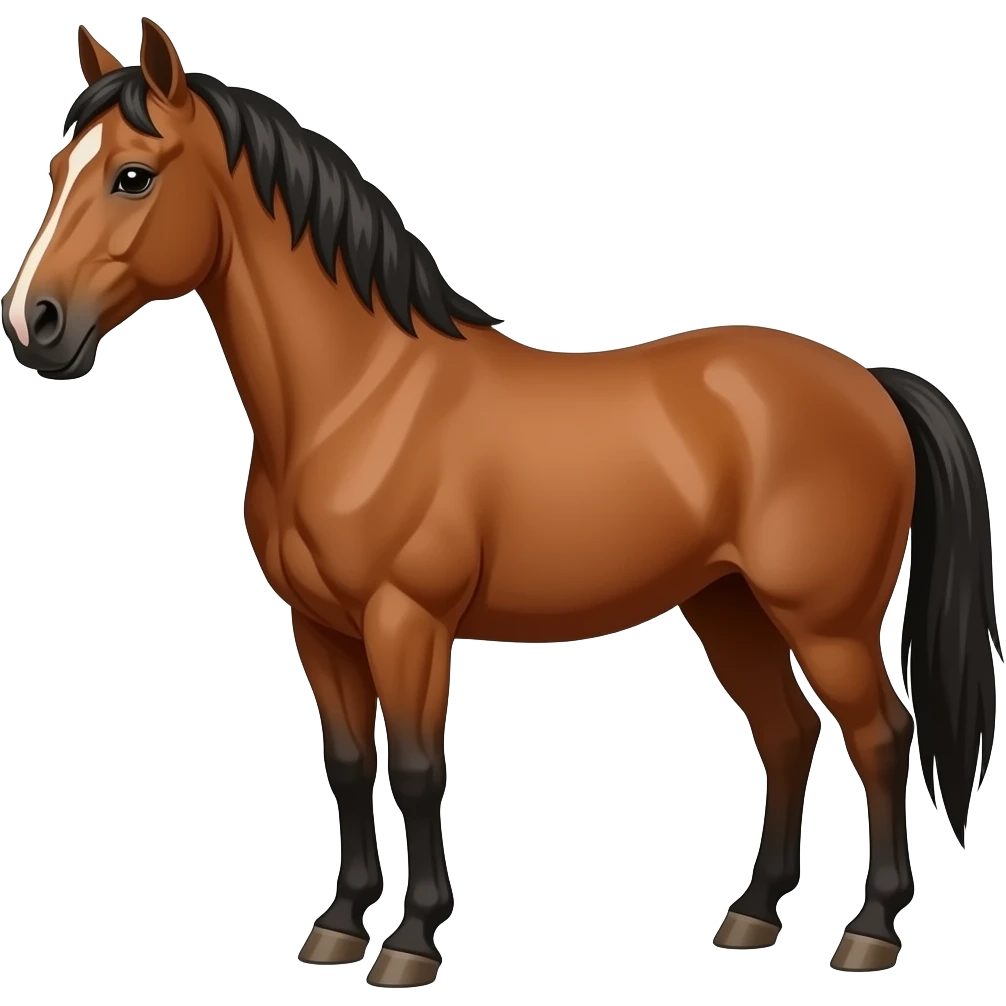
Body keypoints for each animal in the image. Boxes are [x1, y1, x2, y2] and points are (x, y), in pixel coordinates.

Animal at [2, 19, 999, 984]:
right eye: (56, 173)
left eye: (133, 176)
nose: (33, 323)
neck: (361, 396)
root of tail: (869, 385)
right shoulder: (319, 629)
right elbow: (347, 764)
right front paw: (337, 926)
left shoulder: (407, 621)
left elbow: (415, 769)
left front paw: (411, 941)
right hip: (730, 607)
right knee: (788, 735)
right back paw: (753, 916)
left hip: (826, 621)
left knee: (881, 735)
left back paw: (870, 931)